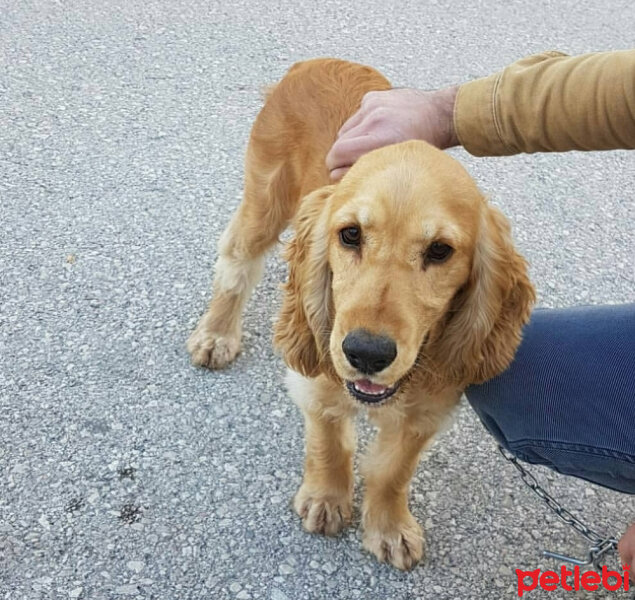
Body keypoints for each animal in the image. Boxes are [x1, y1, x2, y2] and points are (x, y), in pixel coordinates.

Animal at [189, 58, 536, 568]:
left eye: (440, 250)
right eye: (350, 234)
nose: (367, 354)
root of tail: (315, 61)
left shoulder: (428, 409)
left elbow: (393, 470)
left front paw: (389, 528)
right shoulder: (317, 374)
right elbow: (329, 442)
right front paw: (325, 499)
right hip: (265, 199)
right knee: (235, 265)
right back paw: (215, 335)